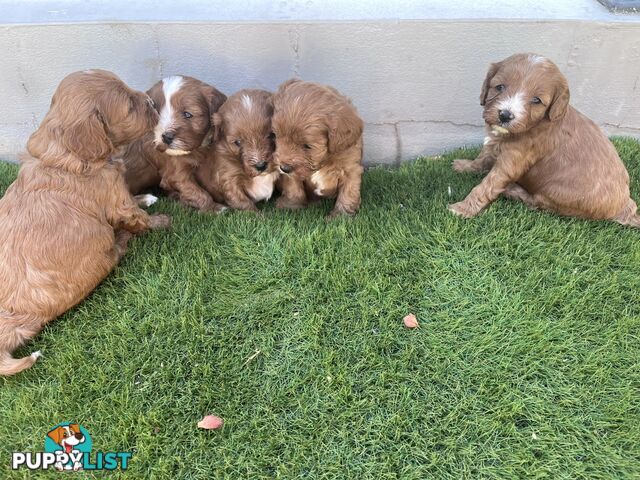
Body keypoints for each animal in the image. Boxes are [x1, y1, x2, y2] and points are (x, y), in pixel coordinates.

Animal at [0, 69, 170, 376]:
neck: (63, 152)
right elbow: (136, 216)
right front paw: (162, 220)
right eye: (130, 106)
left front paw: (146, 197)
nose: (152, 101)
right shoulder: (115, 198)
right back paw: (122, 240)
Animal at [270, 79, 362, 219]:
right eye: (276, 135)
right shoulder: (292, 174)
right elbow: (294, 187)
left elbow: (348, 192)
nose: (284, 168)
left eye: (307, 146)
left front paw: (341, 215)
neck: (324, 161)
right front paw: (290, 205)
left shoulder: (351, 169)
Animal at [450, 52, 640, 227]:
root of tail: (626, 206)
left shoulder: (514, 159)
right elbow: (482, 157)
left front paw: (463, 208)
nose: (505, 115)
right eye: (499, 87)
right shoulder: (494, 143)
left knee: (537, 203)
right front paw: (465, 165)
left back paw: (512, 190)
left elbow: (488, 185)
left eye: (536, 100)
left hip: (555, 192)